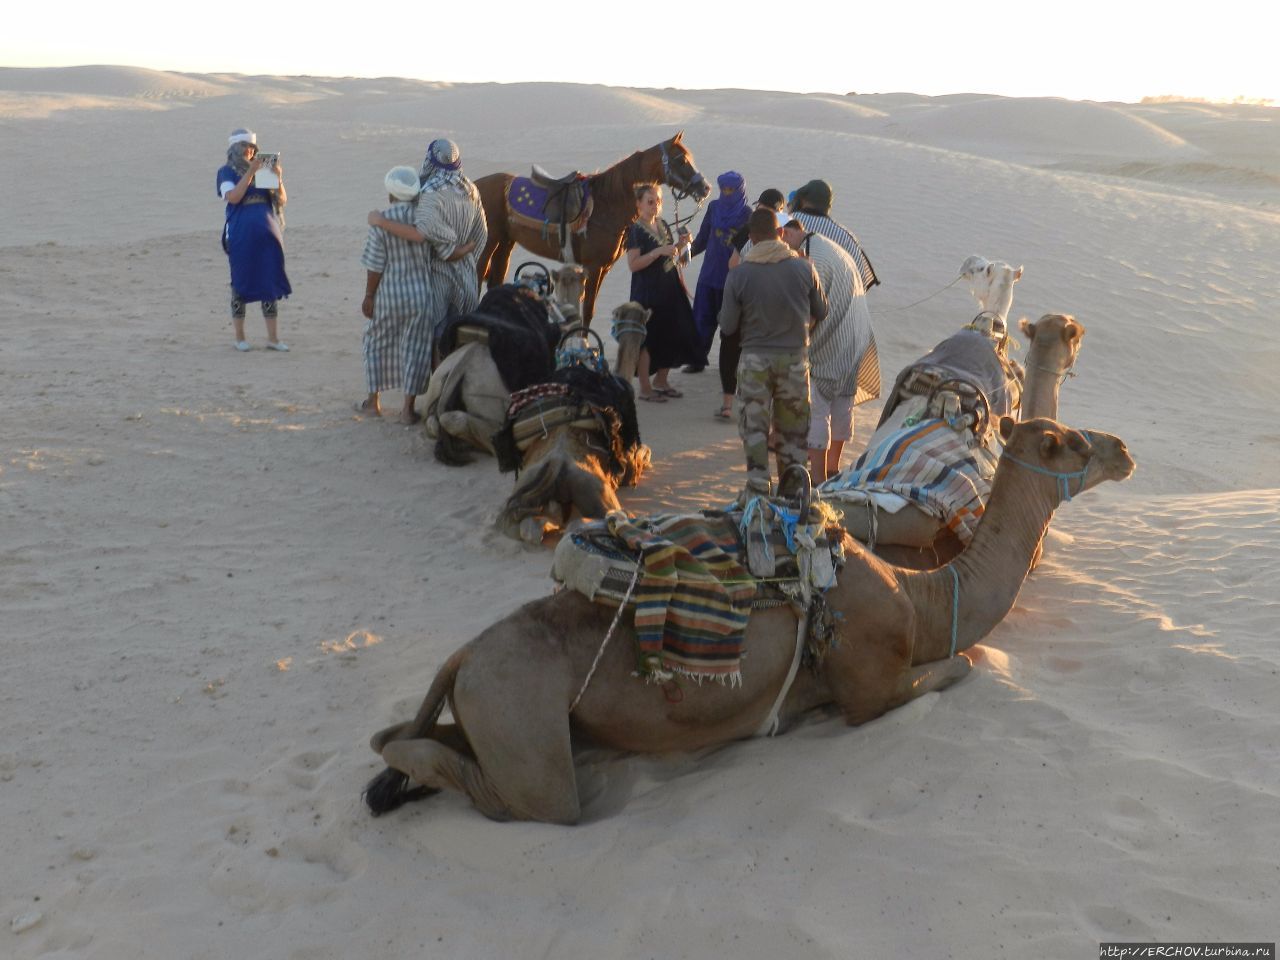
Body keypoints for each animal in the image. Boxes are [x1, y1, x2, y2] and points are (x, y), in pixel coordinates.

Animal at [368, 417, 1131, 824]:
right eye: (1066, 441)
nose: (1121, 447)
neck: (926, 599)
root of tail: (464, 657)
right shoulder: (869, 683)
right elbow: (960, 662)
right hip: (520, 719)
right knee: (526, 796)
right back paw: (401, 776)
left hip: (492, 708)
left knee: (407, 734)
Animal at [476, 131, 711, 327]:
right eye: (681, 159)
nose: (705, 187)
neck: (606, 204)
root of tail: (477, 184)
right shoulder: (594, 266)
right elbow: (587, 310)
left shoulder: (603, 268)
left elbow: (588, 310)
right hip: (489, 243)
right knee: (477, 276)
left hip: (506, 242)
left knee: (495, 281)